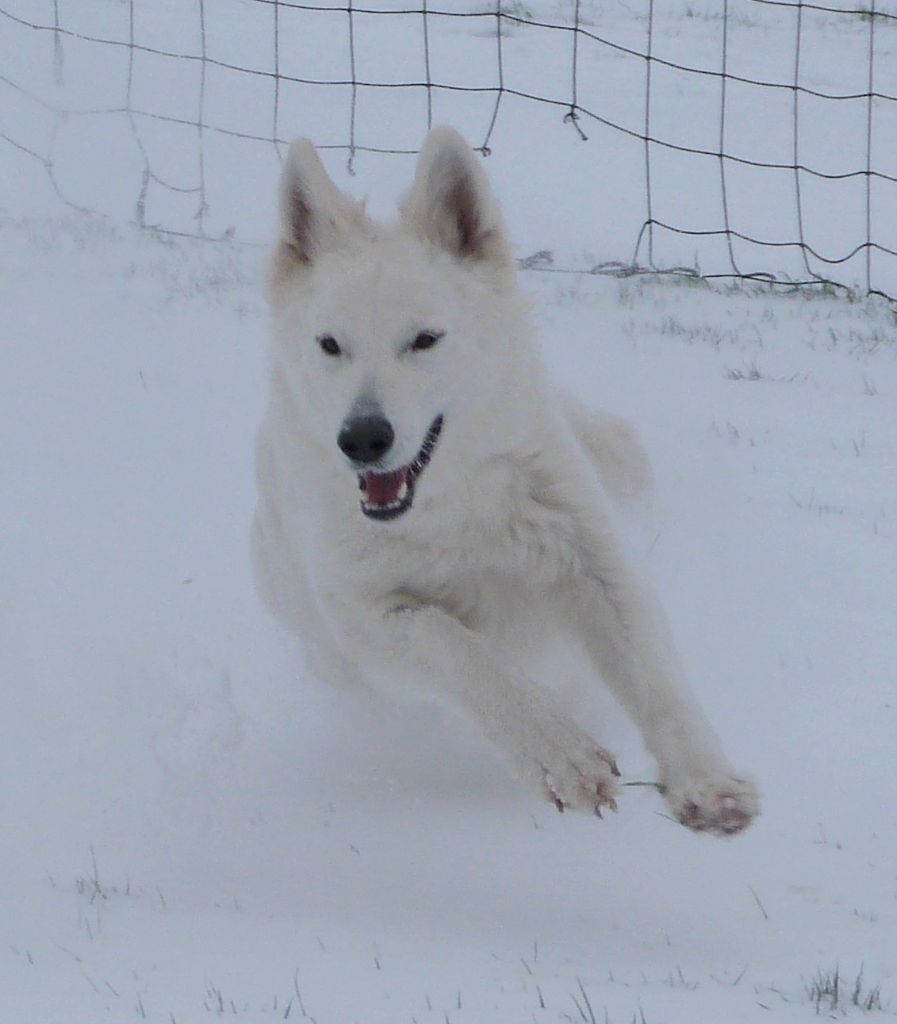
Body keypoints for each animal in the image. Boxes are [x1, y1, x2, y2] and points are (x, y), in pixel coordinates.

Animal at [250, 128, 757, 835]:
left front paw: (706, 781)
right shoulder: (365, 616)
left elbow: (654, 677)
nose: (362, 439)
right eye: (330, 345)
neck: (449, 505)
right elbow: (461, 649)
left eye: (424, 339)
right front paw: (561, 753)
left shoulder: (594, 562)